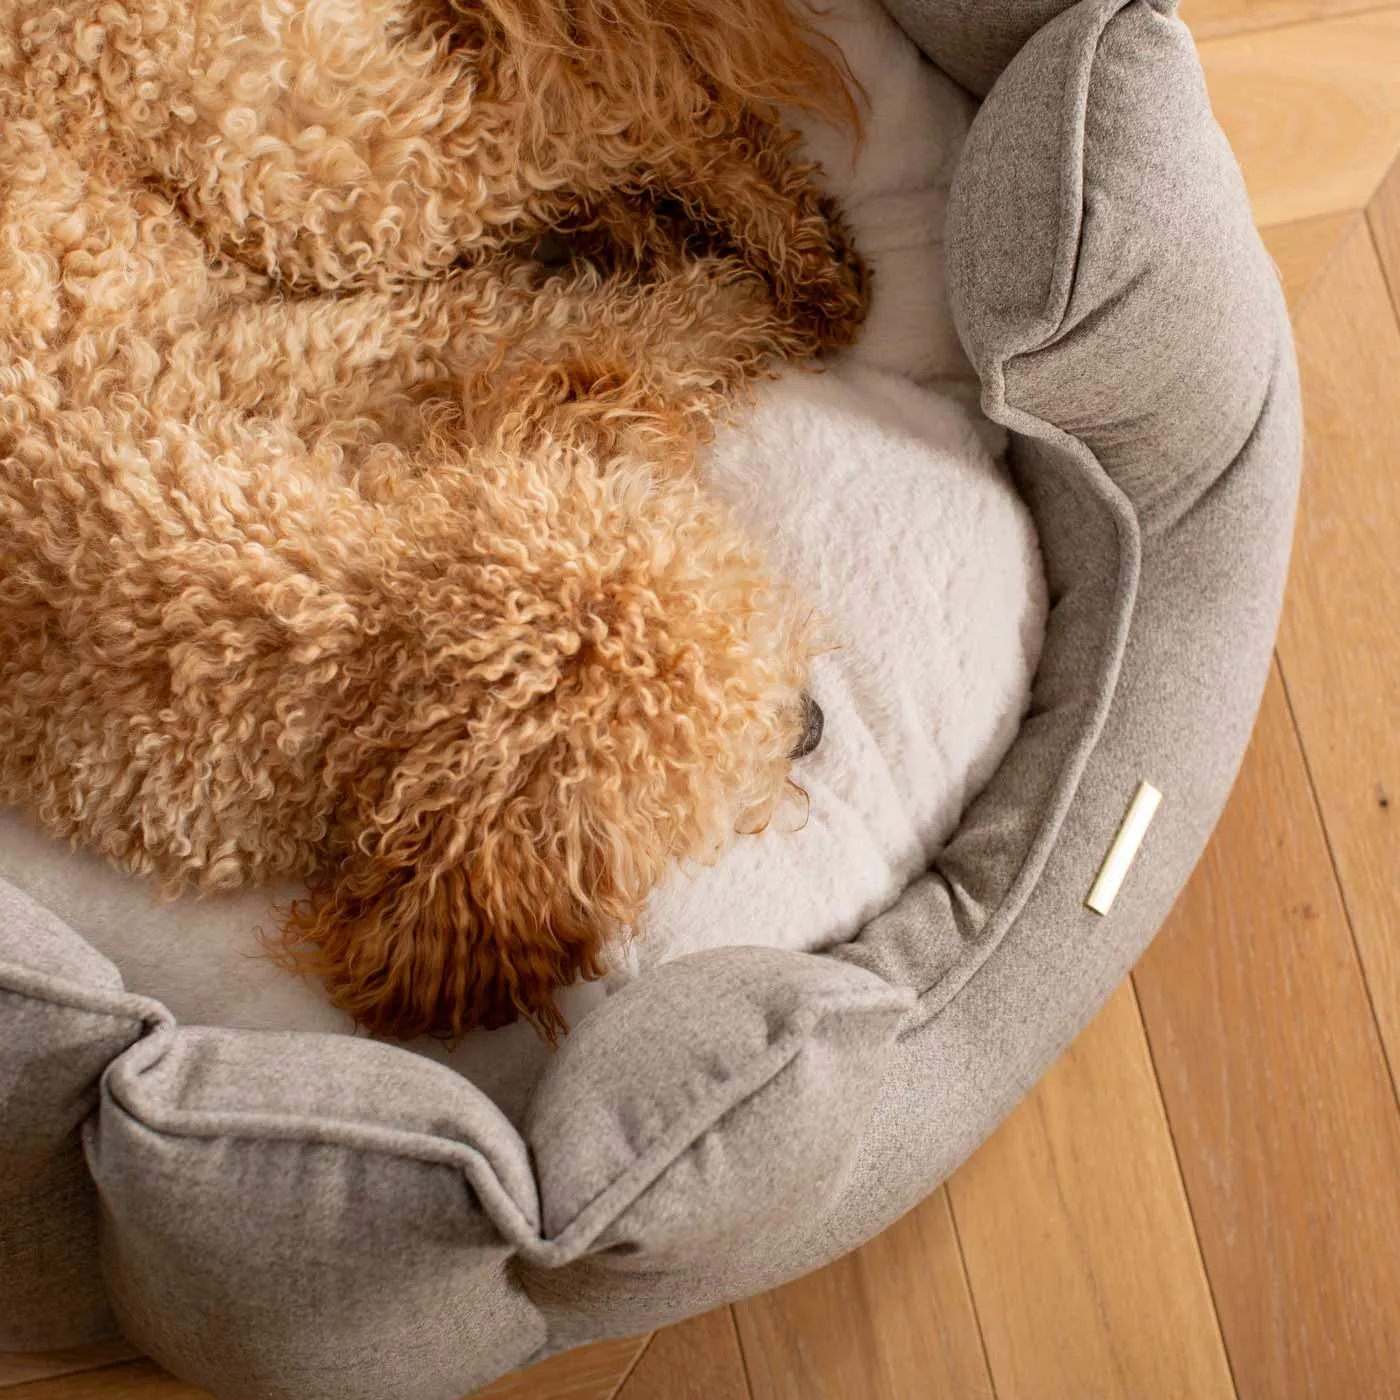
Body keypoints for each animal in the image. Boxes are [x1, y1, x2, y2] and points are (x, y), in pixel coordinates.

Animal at [0, 0, 862, 1041]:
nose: (814, 723)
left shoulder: (373, 352)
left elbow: (637, 326)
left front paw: (736, 303)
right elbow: (623, 332)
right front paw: (708, 301)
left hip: (303, 156)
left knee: (613, 100)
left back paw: (801, 262)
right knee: (591, 109)